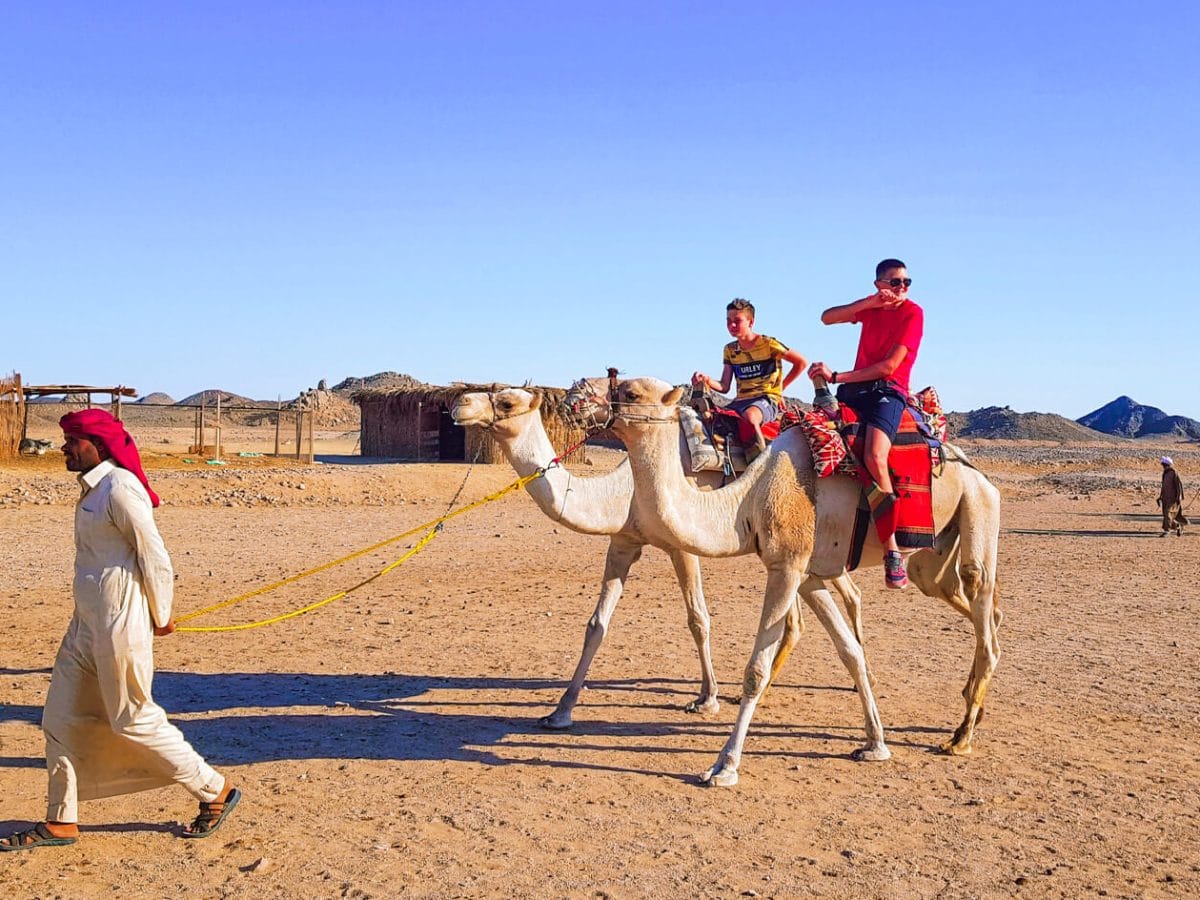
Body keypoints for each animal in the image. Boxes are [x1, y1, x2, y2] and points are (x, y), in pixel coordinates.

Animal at [565, 376, 1001, 787]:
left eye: (632, 393)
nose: (573, 398)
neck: (747, 500)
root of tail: (973, 468)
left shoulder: (786, 565)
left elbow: (752, 668)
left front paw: (723, 765)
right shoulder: (807, 574)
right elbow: (848, 652)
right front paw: (875, 743)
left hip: (979, 505)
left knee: (980, 599)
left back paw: (961, 735)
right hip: (931, 557)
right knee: (964, 600)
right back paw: (971, 706)